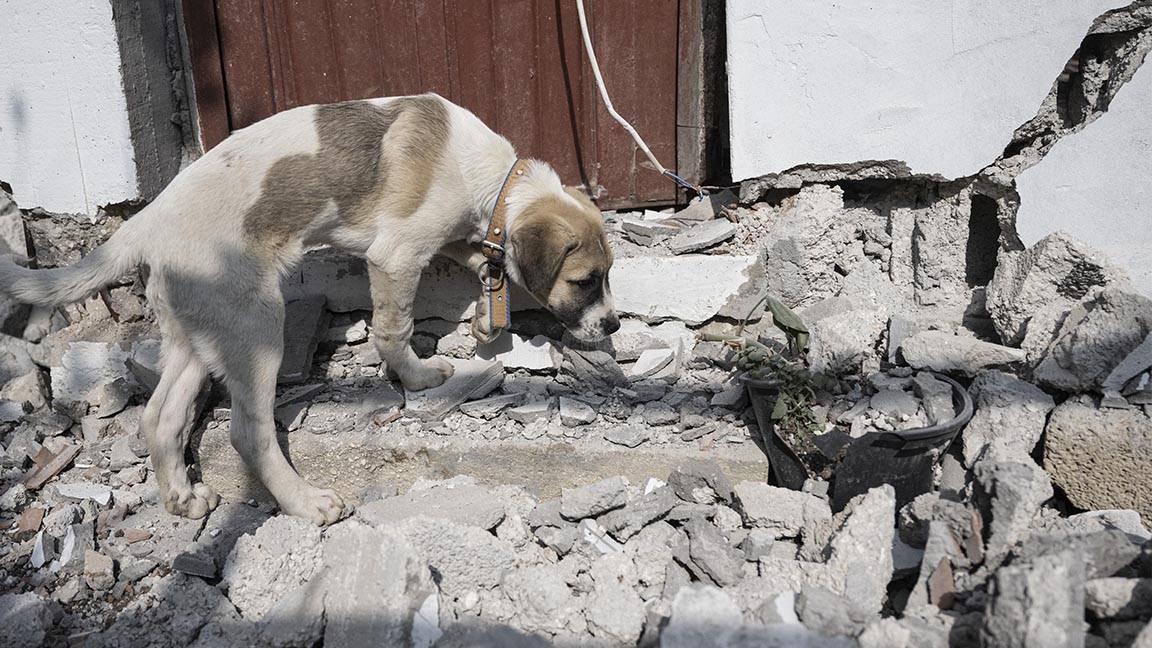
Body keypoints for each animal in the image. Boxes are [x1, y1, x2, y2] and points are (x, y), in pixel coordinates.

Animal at [0, 93, 622, 521]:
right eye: (586, 281)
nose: (614, 324)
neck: (491, 179)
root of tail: (144, 222)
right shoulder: (396, 256)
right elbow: (394, 329)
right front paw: (416, 377)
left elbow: (476, 255)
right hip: (256, 327)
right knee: (247, 432)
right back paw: (304, 503)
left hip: (201, 332)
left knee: (162, 416)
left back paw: (181, 497)